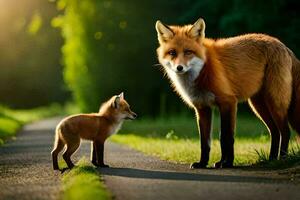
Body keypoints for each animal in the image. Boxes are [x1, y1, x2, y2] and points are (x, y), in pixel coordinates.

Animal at [156, 18, 298, 168]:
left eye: (188, 52)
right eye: (172, 53)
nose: (179, 68)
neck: (203, 71)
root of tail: (283, 45)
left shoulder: (228, 102)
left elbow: (226, 137)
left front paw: (227, 163)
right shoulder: (202, 108)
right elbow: (205, 142)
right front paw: (203, 163)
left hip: (274, 102)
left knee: (285, 131)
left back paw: (282, 158)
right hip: (258, 106)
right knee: (275, 132)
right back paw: (271, 159)